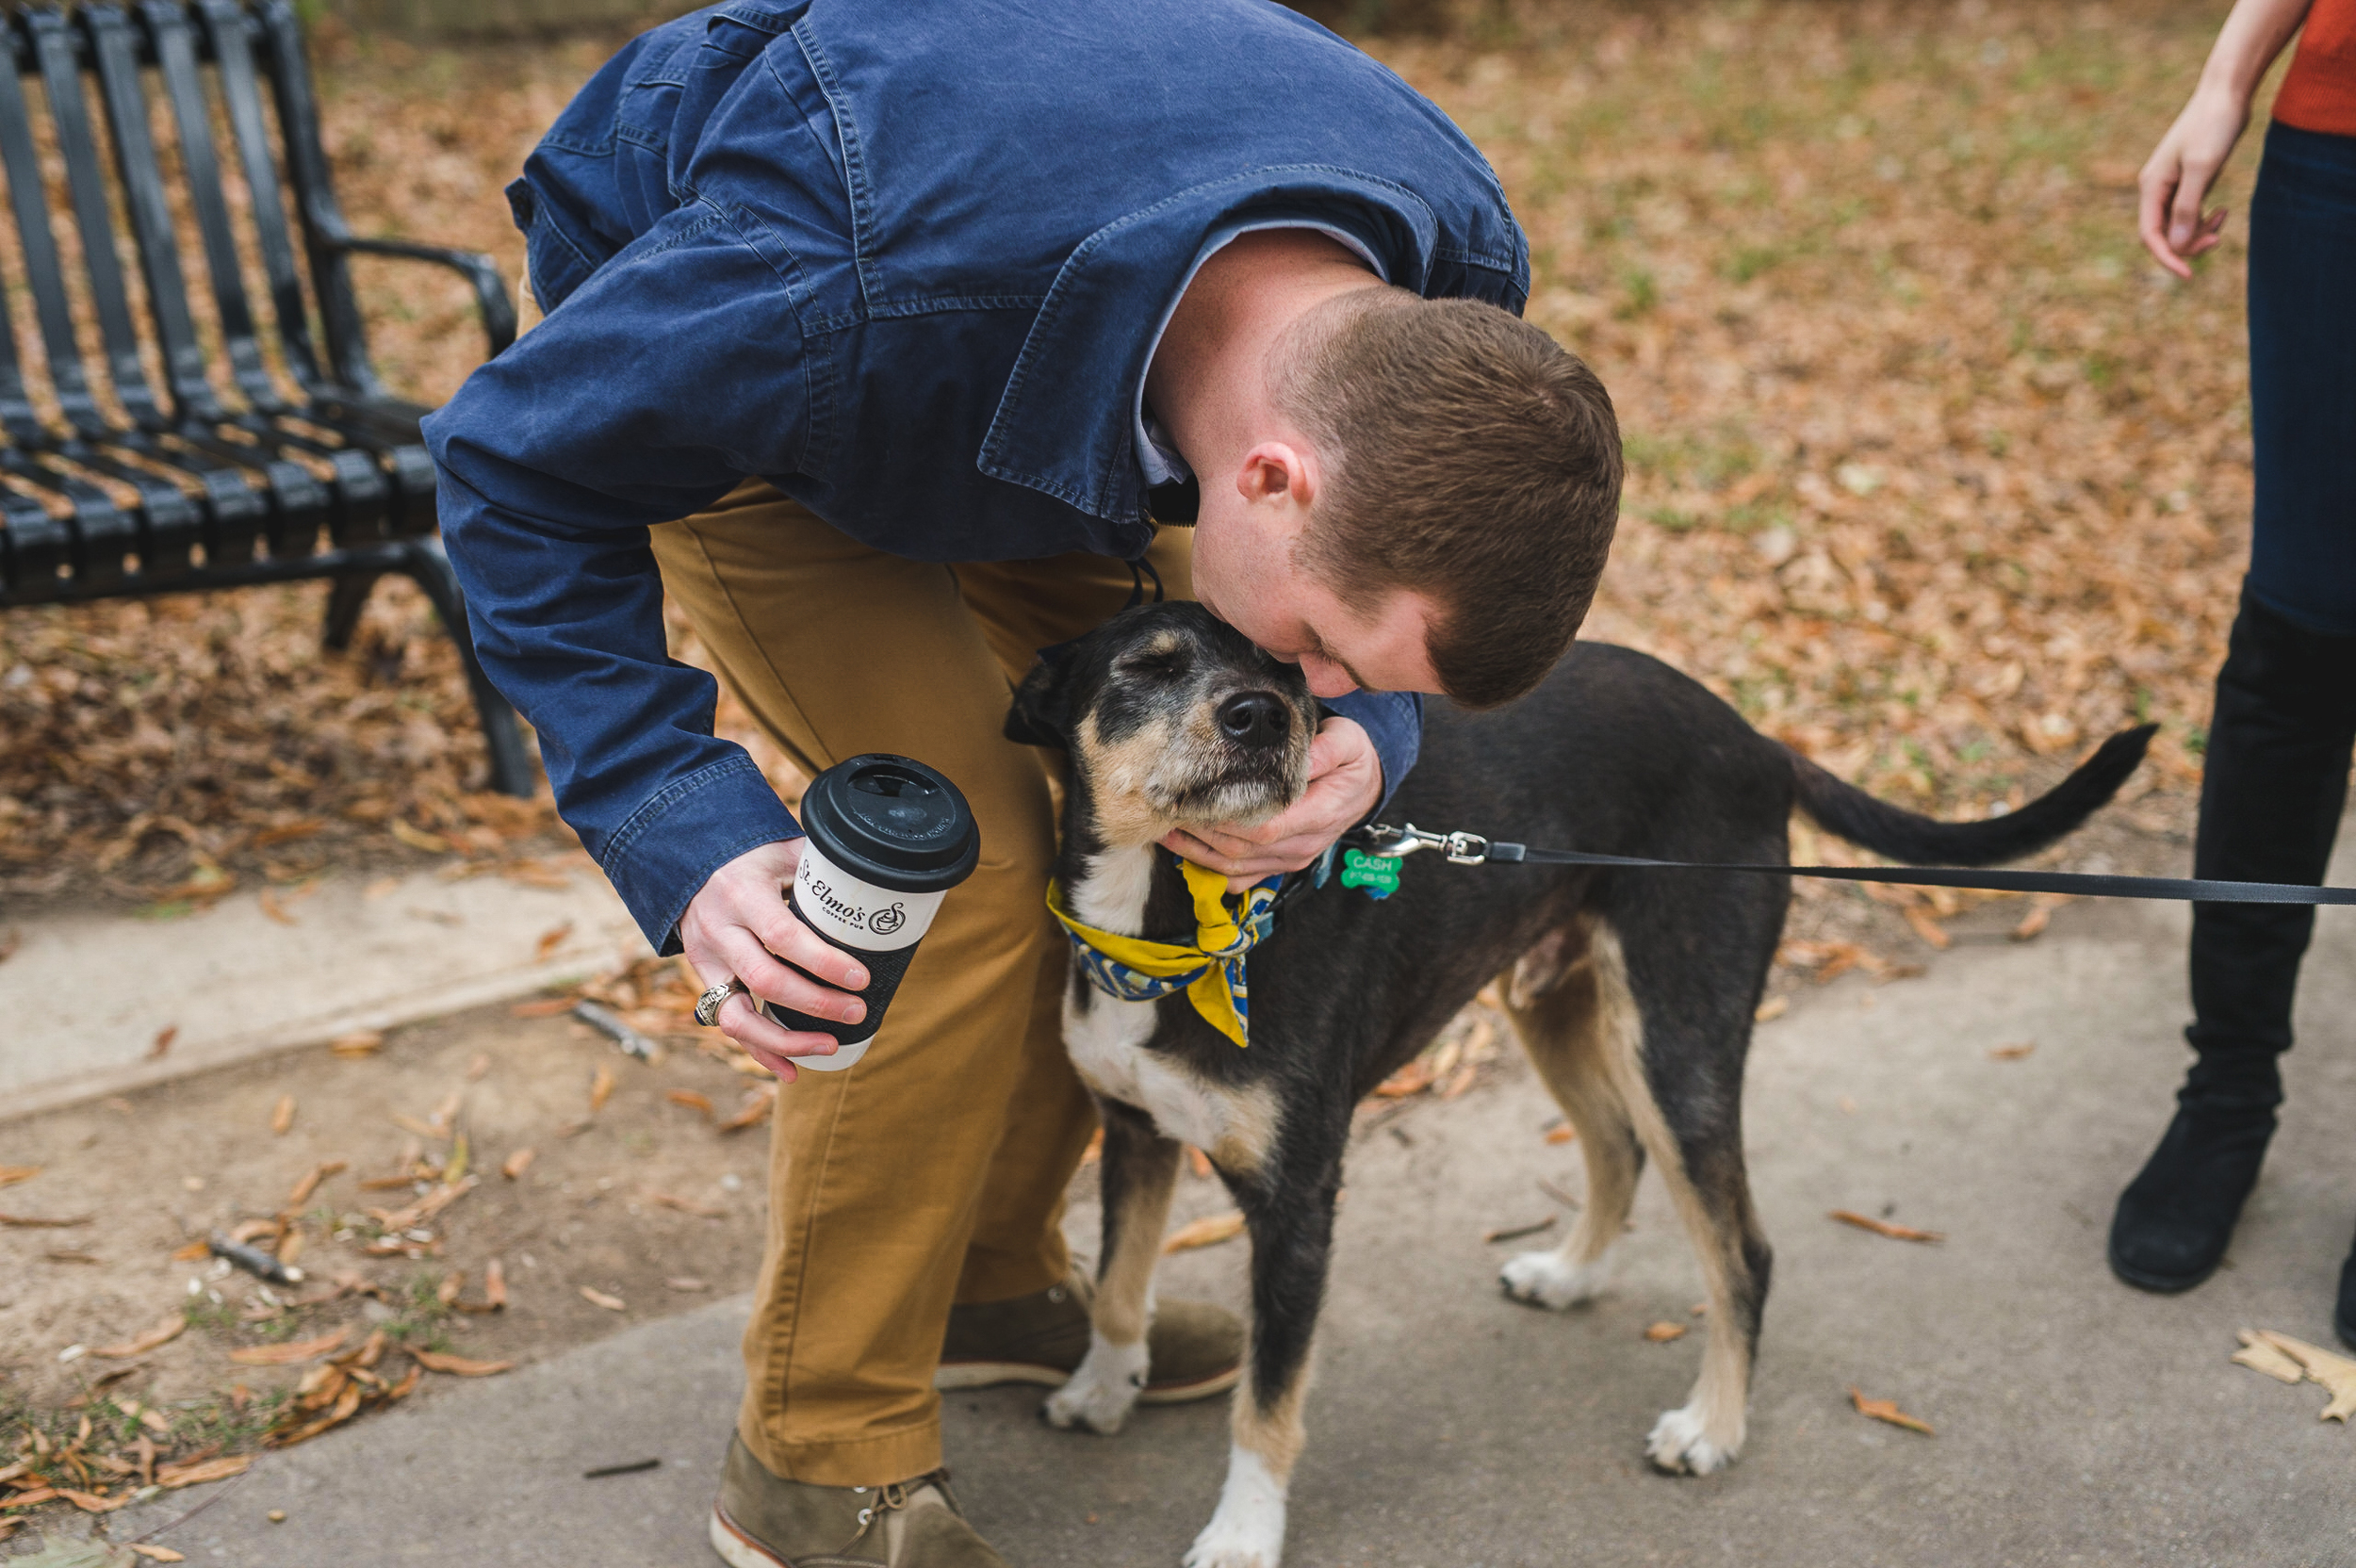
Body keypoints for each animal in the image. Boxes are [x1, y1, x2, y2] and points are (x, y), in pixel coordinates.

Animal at [1004, 600, 2149, 1563]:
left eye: (1290, 671)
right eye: (1150, 667)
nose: (1263, 715)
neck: (1173, 920)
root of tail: (1757, 742)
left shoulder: (1298, 1200)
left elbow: (1267, 1400)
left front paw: (1243, 1531)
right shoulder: (1132, 1128)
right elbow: (1118, 1284)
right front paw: (1101, 1390)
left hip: (1675, 1034)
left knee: (1743, 1247)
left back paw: (1712, 1426)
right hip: (1554, 1004)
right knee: (1615, 1144)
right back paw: (1572, 1273)